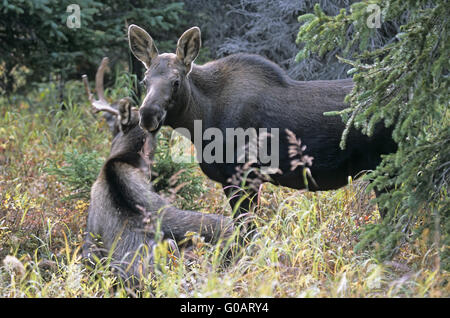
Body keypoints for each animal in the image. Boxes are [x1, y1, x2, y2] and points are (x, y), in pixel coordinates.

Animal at [128, 24, 396, 219]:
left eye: (175, 81)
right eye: (144, 81)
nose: (147, 114)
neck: (202, 119)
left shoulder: (243, 176)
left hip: (385, 166)